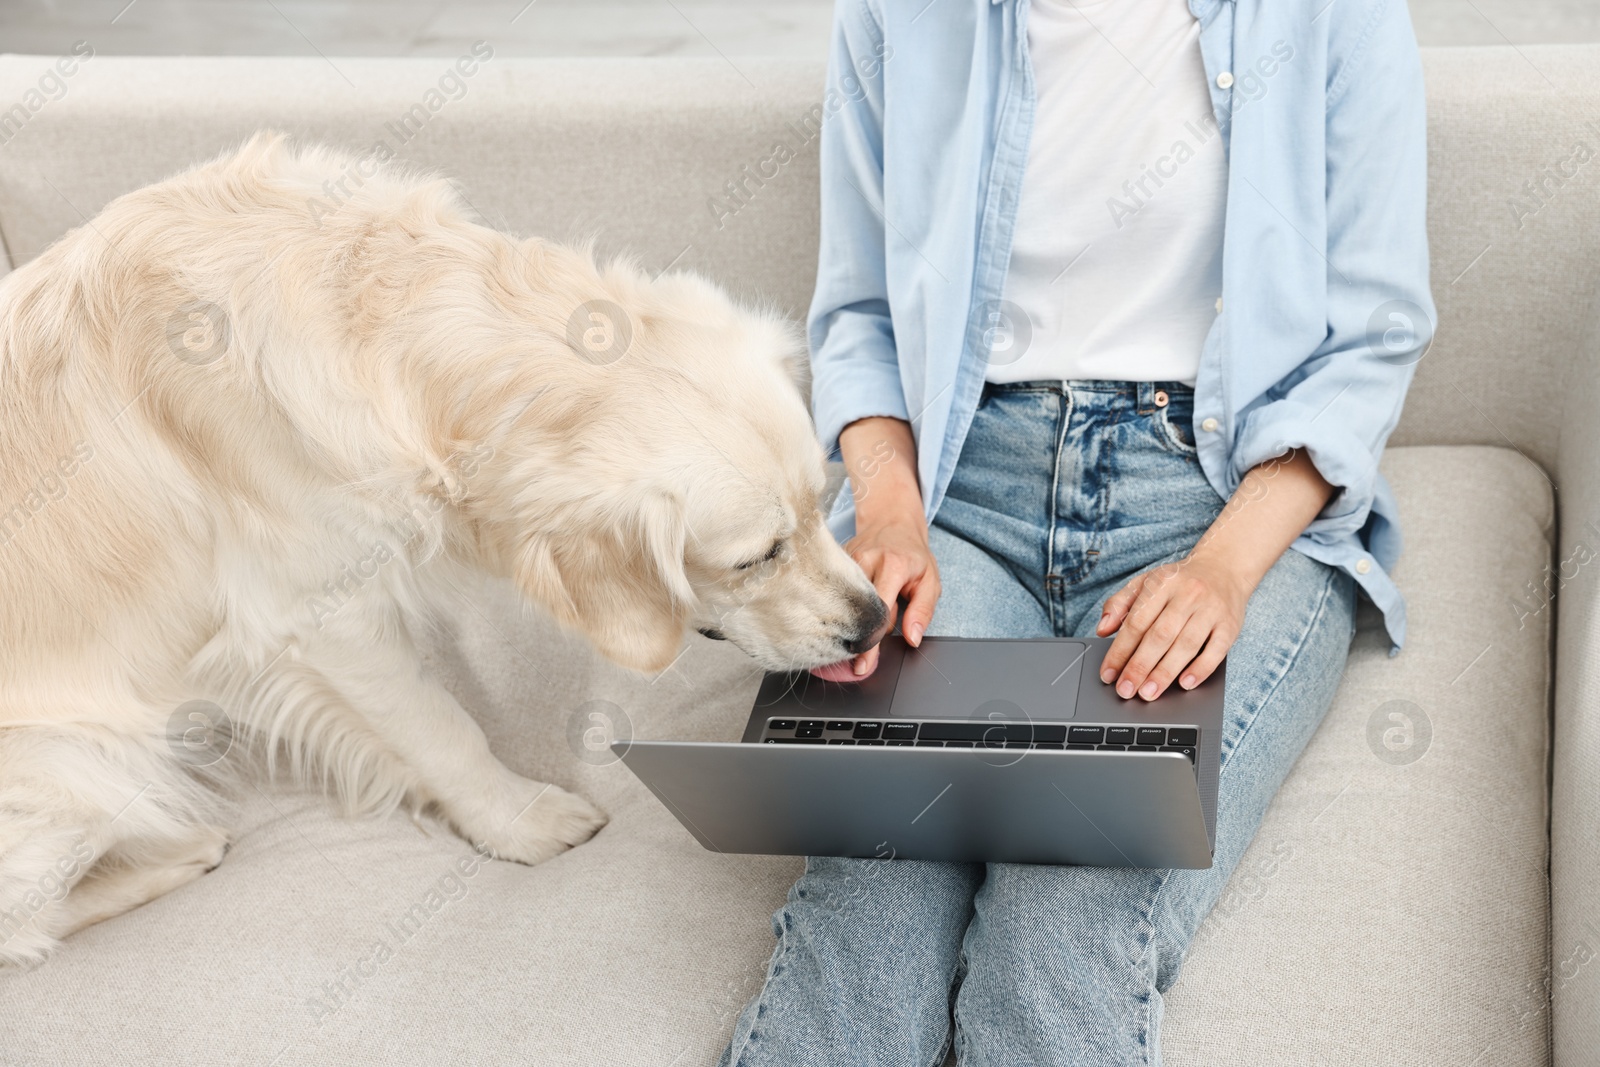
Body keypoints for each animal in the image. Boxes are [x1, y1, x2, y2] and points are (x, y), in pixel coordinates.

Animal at [0, 133, 889, 966]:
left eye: (822, 503)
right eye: (755, 557)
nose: (876, 619)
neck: (383, 322)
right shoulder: (320, 618)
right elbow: (441, 726)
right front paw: (524, 820)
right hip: (82, 763)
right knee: (28, 929)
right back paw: (181, 850)